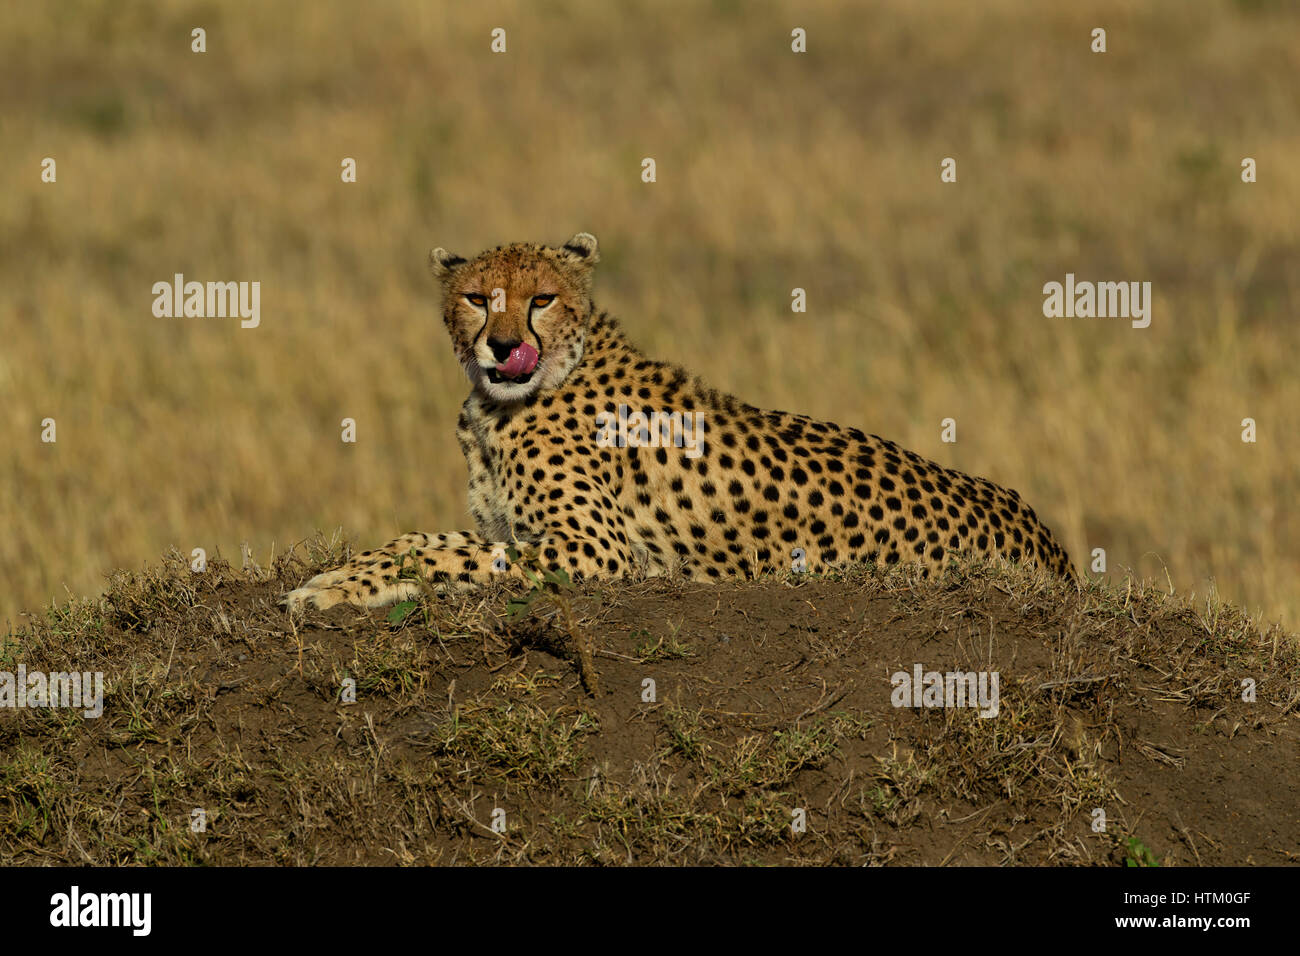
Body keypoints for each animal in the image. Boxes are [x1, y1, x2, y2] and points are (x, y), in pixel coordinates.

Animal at [287, 230, 1076, 613]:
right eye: (479, 298)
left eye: (541, 298)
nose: (504, 346)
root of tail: (1054, 550)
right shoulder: (525, 531)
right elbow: (423, 537)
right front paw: (343, 571)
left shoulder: (597, 552)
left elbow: (448, 556)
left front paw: (335, 589)